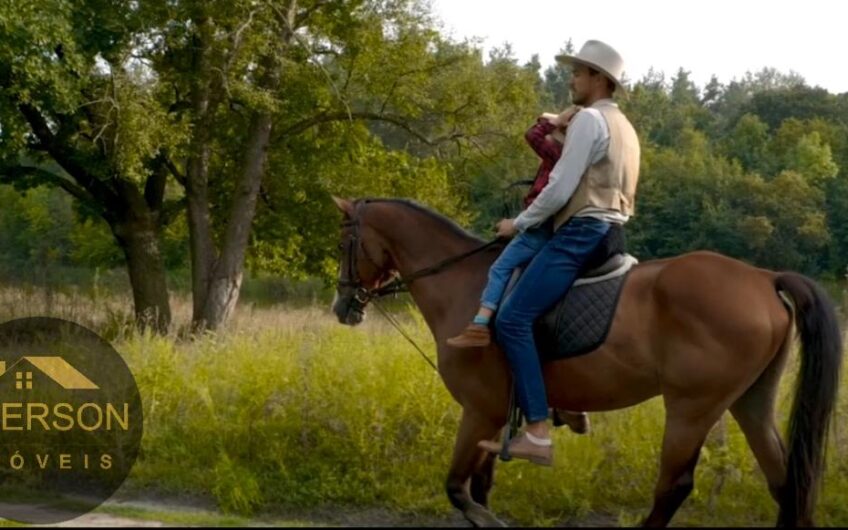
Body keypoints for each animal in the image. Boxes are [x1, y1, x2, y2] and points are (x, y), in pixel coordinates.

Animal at [330, 196, 840, 524]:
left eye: (341, 245)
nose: (342, 306)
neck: (466, 283)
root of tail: (764, 277)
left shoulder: (480, 410)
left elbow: (459, 491)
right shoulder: (493, 418)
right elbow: (479, 489)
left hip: (692, 407)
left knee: (673, 486)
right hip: (750, 401)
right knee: (786, 483)